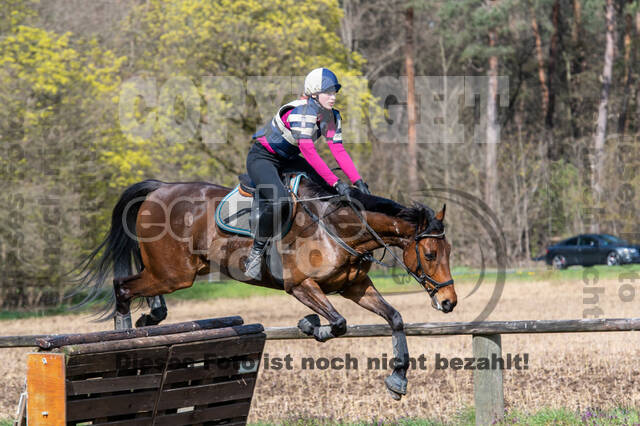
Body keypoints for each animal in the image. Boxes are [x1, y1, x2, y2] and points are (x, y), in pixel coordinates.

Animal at [72, 176, 458, 400]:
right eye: (429, 253)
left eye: (449, 252)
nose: (449, 302)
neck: (338, 227)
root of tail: (160, 188)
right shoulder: (301, 286)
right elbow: (338, 323)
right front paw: (309, 325)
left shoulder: (356, 286)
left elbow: (394, 318)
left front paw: (398, 379)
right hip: (174, 273)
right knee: (122, 287)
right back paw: (124, 336)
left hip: (179, 270)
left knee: (141, 287)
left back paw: (151, 317)